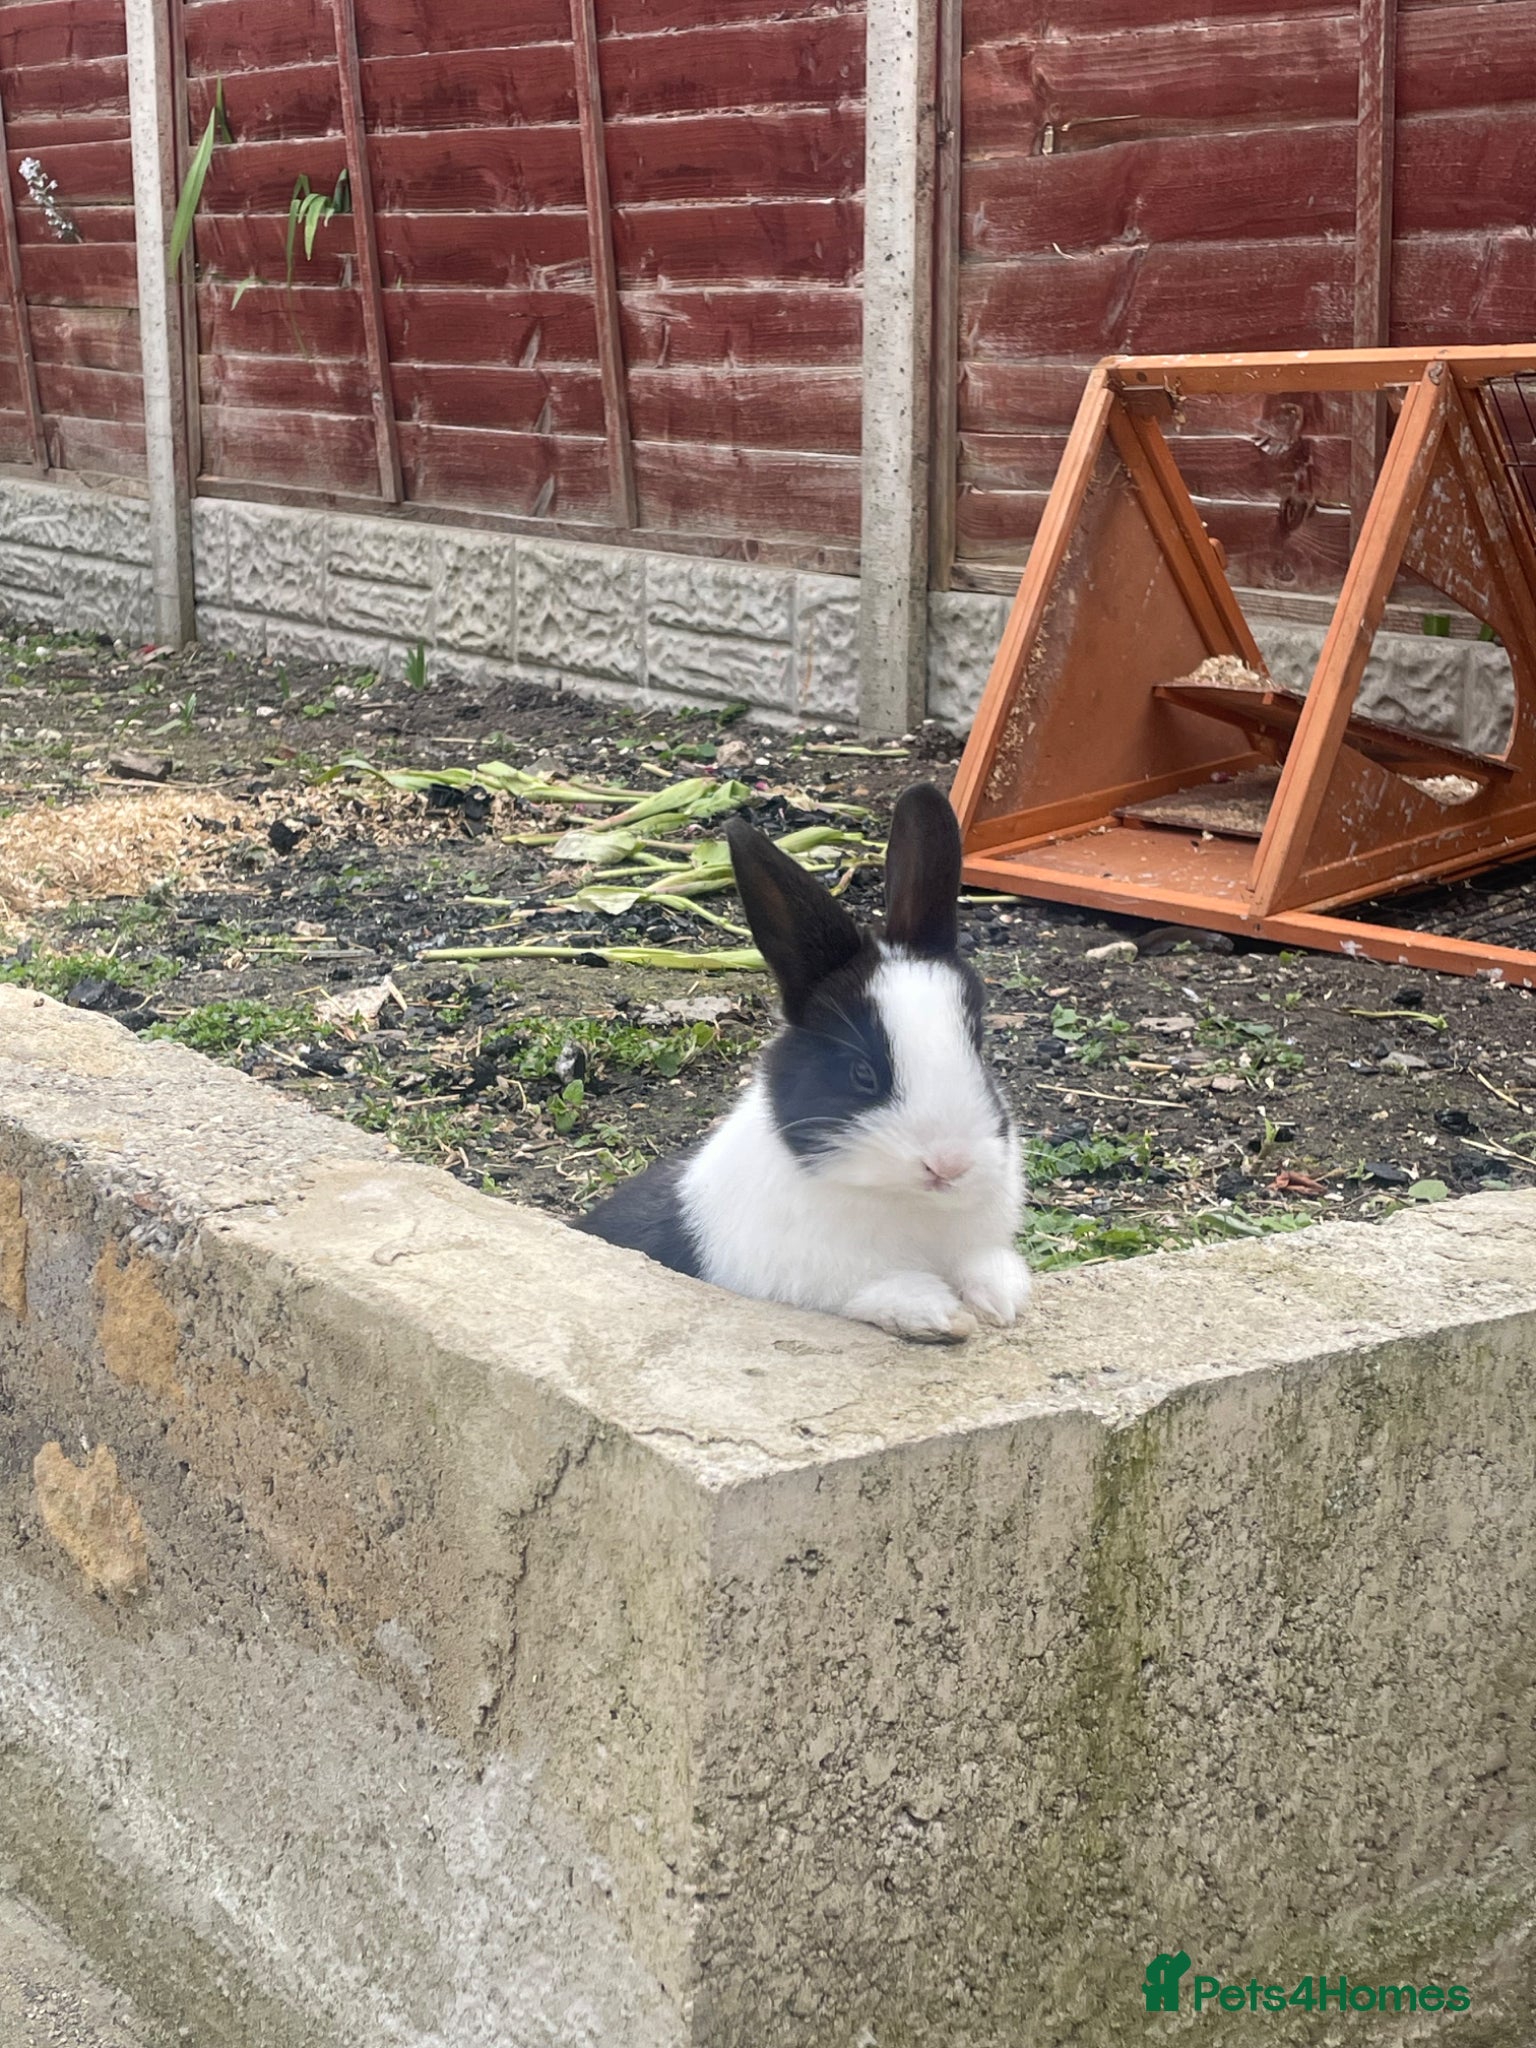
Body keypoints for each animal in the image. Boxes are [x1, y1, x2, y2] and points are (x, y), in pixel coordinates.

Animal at [572, 782, 1031, 1342]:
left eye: (978, 1046)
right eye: (861, 1072)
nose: (949, 1164)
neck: (904, 1201)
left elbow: (986, 1265)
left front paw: (999, 1301)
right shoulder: (812, 1276)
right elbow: (875, 1290)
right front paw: (940, 1315)